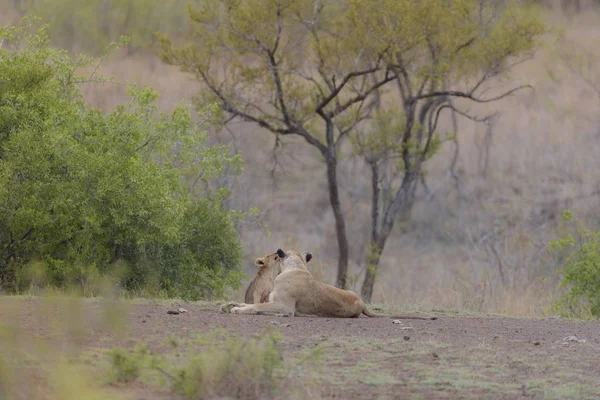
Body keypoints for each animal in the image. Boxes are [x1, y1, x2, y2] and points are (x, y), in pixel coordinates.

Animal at [220, 248, 436, 320]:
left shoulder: (285, 305)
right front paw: (229, 305)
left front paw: (238, 310)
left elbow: (256, 306)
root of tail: (362, 303)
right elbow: (250, 303)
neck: (297, 266)